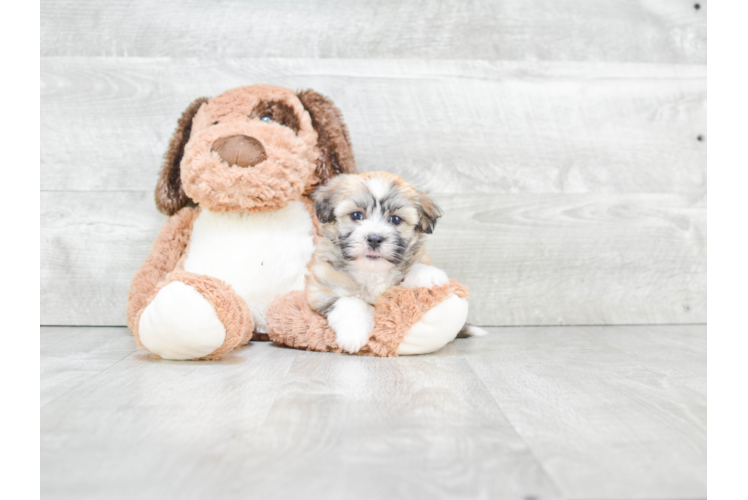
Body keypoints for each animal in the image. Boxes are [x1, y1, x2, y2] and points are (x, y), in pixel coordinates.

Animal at [306, 171, 486, 352]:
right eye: (356, 215)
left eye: (395, 220)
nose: (374, 238)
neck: (372, 271)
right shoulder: (320, 290)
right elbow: (349, 301)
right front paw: (354, 334)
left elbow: (418, 263)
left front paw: (428, 276)